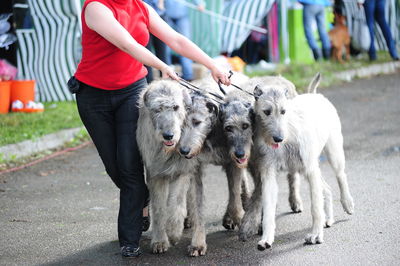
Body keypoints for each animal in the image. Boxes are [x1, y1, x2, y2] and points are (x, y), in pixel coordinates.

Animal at [238, 74, 354, 250]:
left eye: (283, 111)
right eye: (266, 112)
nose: (278, 138)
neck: (289, 133)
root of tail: (315, 94)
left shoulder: (311, 170)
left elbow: (315, 208)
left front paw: (315, 235)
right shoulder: (269, 174)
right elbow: (268, 210)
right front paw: (266, 237)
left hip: (333, 154)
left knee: (341, 176)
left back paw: (347, 202)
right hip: (306, 169)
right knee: (326, 189)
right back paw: (329, 218)